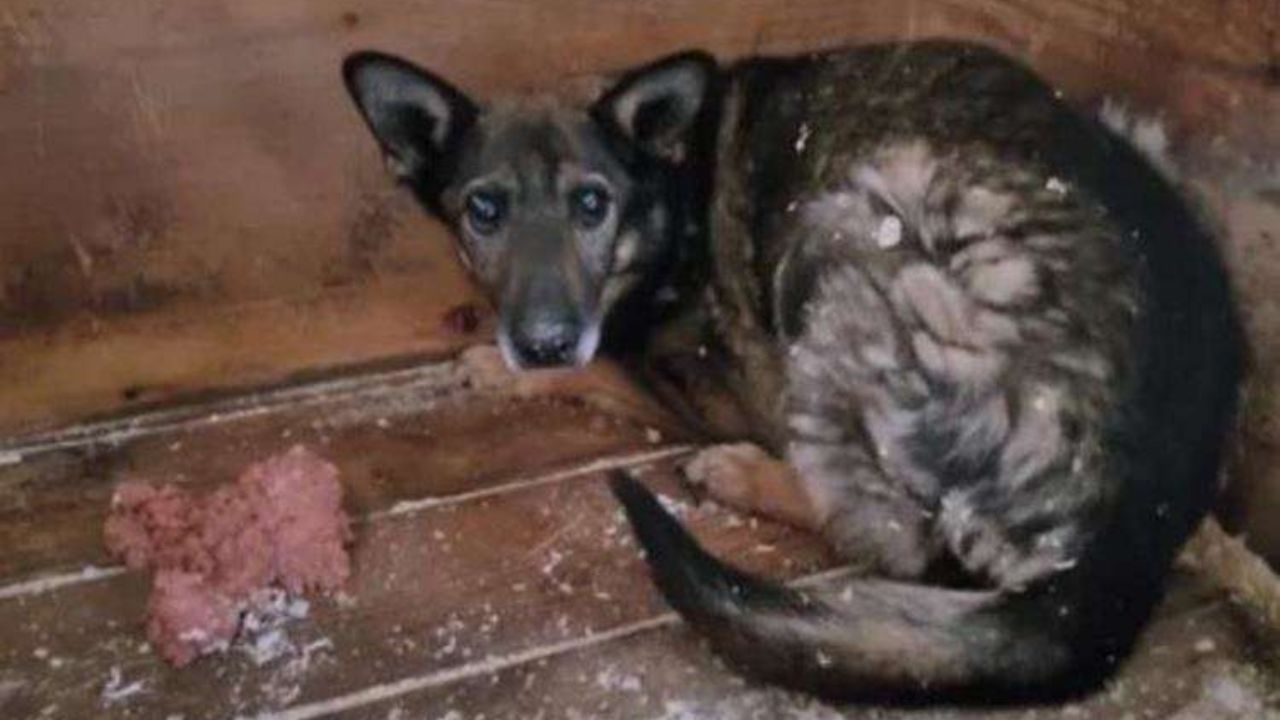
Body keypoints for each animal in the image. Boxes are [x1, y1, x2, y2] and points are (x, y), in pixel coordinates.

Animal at [345, 40, 1244, 702]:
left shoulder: (707, 386)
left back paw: (744, 474)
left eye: (591, 204)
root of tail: (1148, 514)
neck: (671, 188)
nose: (541, 340)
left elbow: (608, 367)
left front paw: (504, 368)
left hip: (847, 219)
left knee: (902, 536)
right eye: (483, 210)